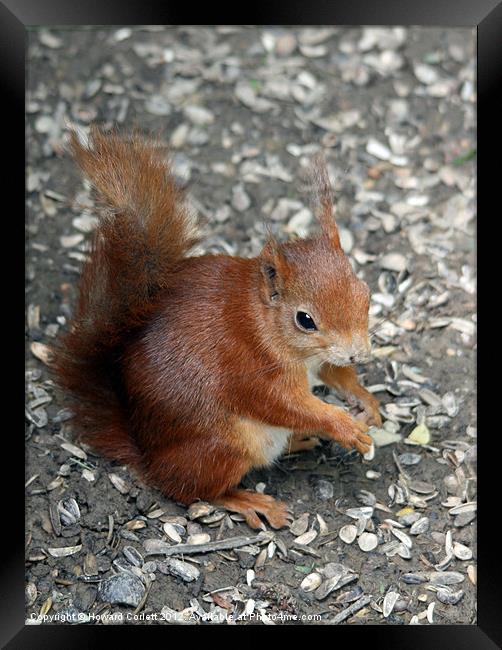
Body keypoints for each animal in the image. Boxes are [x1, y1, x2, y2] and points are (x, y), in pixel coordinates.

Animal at [53, 126, 380, 528]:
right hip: (223, 449)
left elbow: (334, 373)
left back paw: (299, 441)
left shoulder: (319, 358)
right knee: (192, 491)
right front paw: (342, 425)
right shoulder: (249, 367)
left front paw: (365, 400)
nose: (358, 354)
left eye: (365, 293)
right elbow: (285, 404)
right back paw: (249, 500)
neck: (262, 322)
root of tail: (147, 456)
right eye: (305, 320)